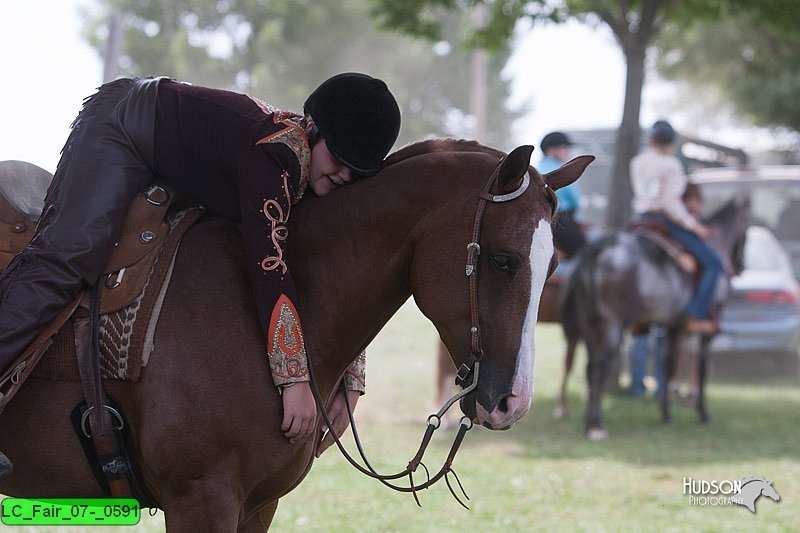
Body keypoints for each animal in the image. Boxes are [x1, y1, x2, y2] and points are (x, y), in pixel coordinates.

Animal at [552, 197, 748, 438]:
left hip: (589, 326)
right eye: (747, 227)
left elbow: (668, 366)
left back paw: (590, 421)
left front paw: (666, 414)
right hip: (613, 326)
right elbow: (700, 369)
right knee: (601, 365)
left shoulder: (673, 327)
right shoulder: (707, 330)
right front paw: (703, 414)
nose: (740, 266)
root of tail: (597, 248)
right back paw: (596, 425)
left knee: (590, 367)